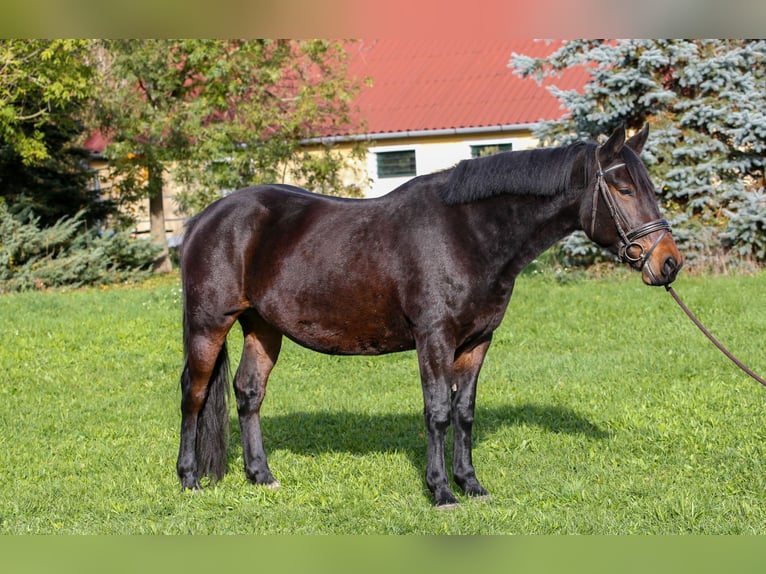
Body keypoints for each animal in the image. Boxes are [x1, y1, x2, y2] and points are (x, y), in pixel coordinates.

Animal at [176, 125, 684, 508]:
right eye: (623, 188)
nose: (668, 263)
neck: (468, 234)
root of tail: (204, 219)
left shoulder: (476, 341)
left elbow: (464, 412)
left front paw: (471, 484)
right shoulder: (434, 339)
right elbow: (437, 411)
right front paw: (441, 492)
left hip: (263, 328)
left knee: (248, 393)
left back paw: (261, 476)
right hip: (208, 325)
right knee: (194, 394)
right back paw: (189, 479)